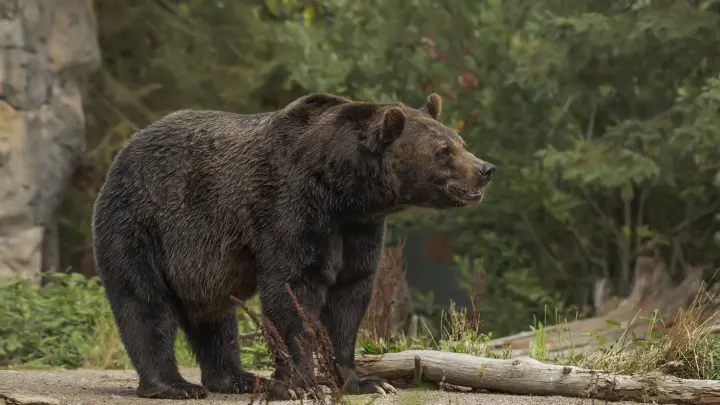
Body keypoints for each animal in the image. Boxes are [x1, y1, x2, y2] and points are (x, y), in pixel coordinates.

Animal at [91, 92, 495, 400]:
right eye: (443, 150)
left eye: (460, 143)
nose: (485, 169)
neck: (343, 190)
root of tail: (124, 150)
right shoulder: (291, 209)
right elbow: (292, 291)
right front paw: (301, 384)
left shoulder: (358, 230)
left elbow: (349, 297)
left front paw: (365, 381)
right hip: (141, 224)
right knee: (144, 302)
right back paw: (173, 385)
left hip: (199, 264)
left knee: (215, 318)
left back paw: (237, 378)